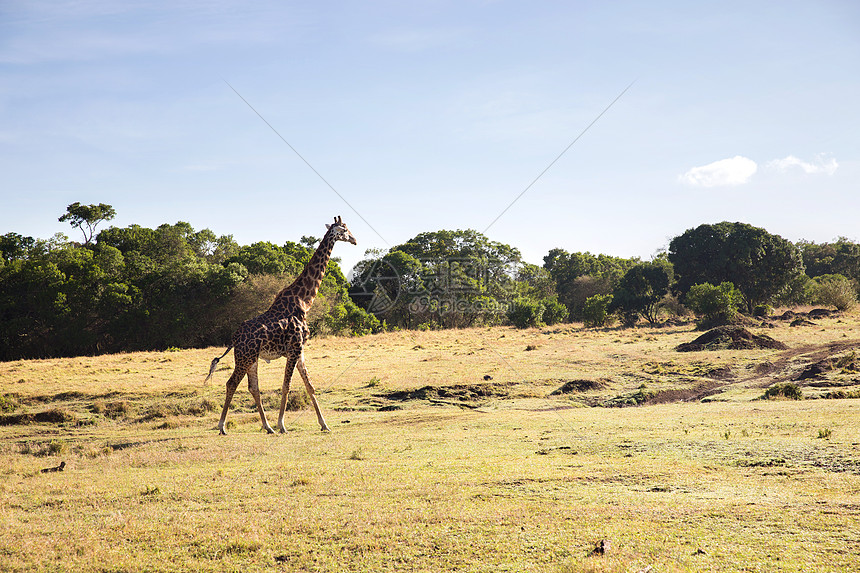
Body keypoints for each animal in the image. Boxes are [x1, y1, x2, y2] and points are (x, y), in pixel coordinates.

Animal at [205, 216, 356, 434]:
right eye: (344, 229)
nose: (354, 240)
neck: (304, 301)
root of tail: (234, 339)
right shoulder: (294, 349)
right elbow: (287, 386)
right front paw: (283, 425)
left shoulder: (300, 350)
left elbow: (309, 386)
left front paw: (324, 424)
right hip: (244, 357)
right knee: (231, 383)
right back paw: (223, 427)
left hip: (251, 358)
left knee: (253, 387)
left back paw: (267, 427)